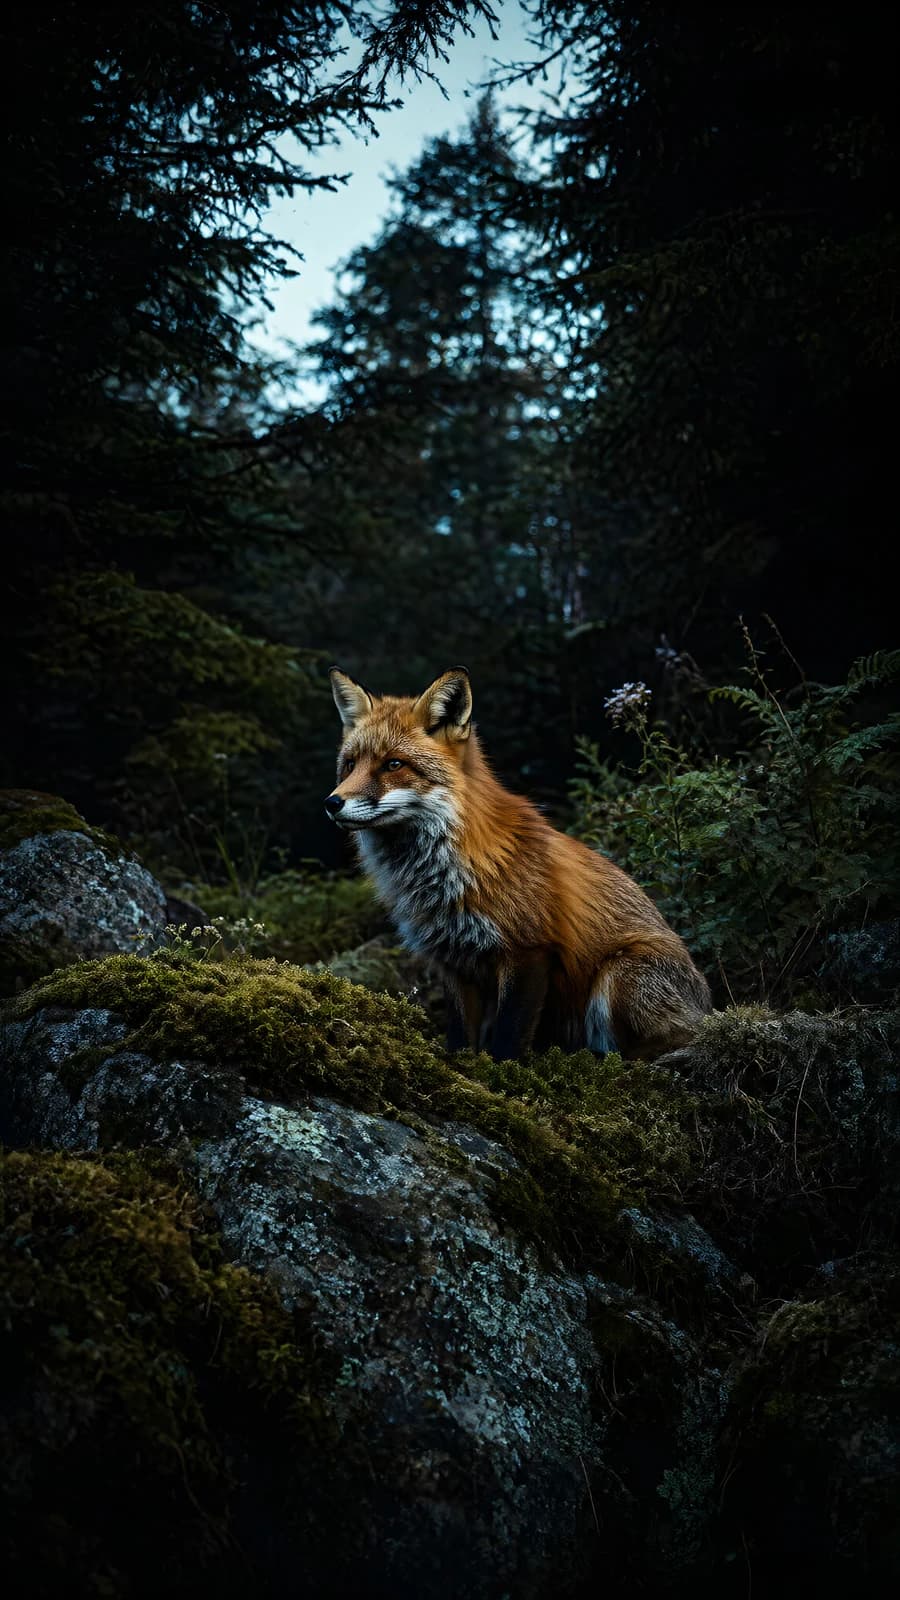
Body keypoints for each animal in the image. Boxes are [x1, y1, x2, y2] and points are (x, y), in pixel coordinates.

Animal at [325, 666, 711, 1062]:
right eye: (350, 765)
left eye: (393, 764)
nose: (332, 803)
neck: (443, 875)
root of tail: (708, 1008)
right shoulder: (453, 961)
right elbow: (460, 1036)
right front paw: (462, 1065)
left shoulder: (528, 951)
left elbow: (508, 1039)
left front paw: (499, 1072)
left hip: (619, 972)